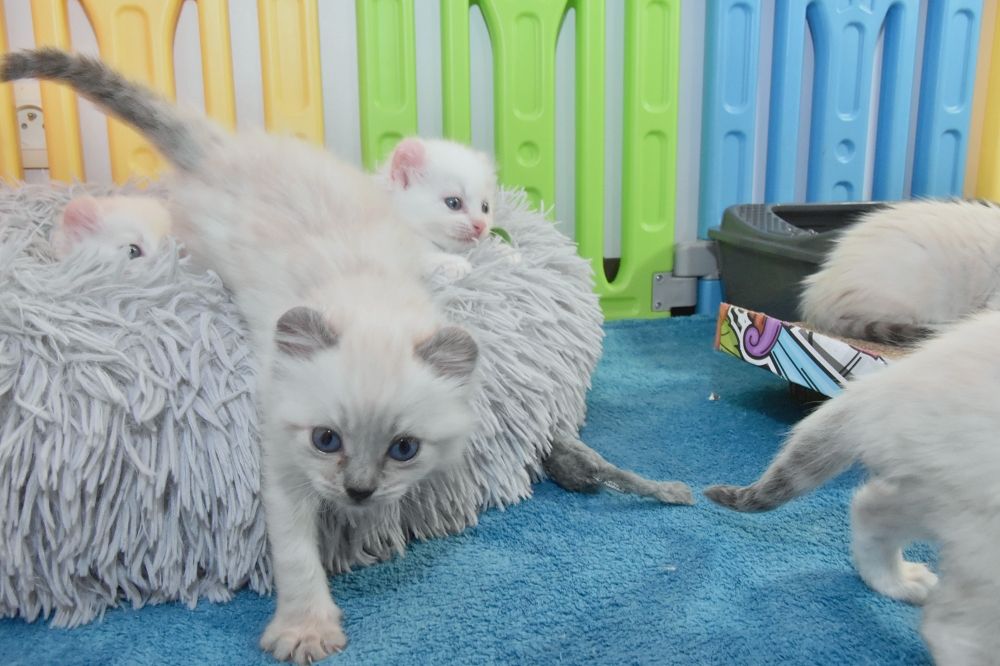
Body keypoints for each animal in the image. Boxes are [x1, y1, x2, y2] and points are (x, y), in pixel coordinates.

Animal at [2, 48, 480, 664]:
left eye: (404, 449)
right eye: (326, 440)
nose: (359, 492)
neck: (364, 292)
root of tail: (225, 145)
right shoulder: (283, 461)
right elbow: (297, 556)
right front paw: (305, 632)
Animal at [704, 309, 1000, 665]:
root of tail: (883, 385)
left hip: (943, 493)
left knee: (873, 507)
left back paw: (897, 581)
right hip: (973, 514)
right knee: (951, 628)